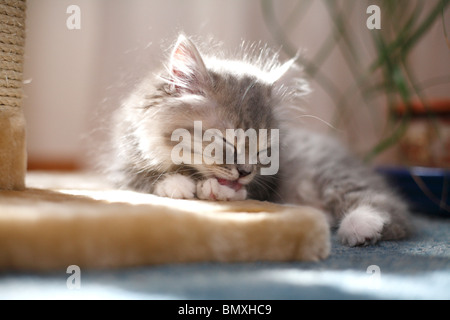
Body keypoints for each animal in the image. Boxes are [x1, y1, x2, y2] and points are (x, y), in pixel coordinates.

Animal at [106, 34, 412, 245]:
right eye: (228, 142)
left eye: (263, 150)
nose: (244, 171)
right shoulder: (119, 165)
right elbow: (141, 177)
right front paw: (179, 184)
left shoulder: (268, 182)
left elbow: (248, 190)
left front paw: (216, 190)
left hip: (332, 174)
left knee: (394, 211)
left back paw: (361, 225)